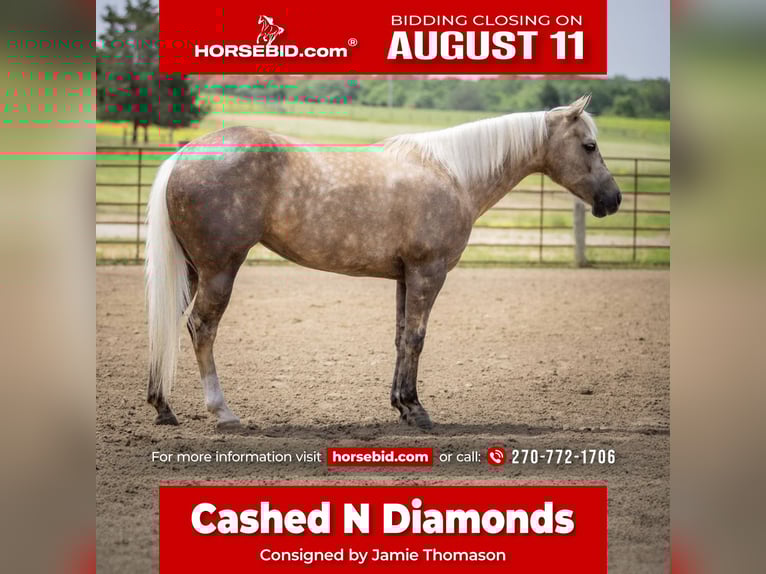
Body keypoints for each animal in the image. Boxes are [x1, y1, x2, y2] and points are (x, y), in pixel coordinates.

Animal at [145, 94, 622, 431]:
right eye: (589, 145)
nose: (614, 199)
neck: (452, 174)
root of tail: (184, 155)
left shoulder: (405, 276)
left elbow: (399, 337)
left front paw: (400, 405)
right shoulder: (429, 273)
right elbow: (416, 338)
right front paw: (416, 409)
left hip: (192, 271)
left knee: (169, 323)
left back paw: (163, 407)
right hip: (220, 269)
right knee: (202, 328)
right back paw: (222, 412)